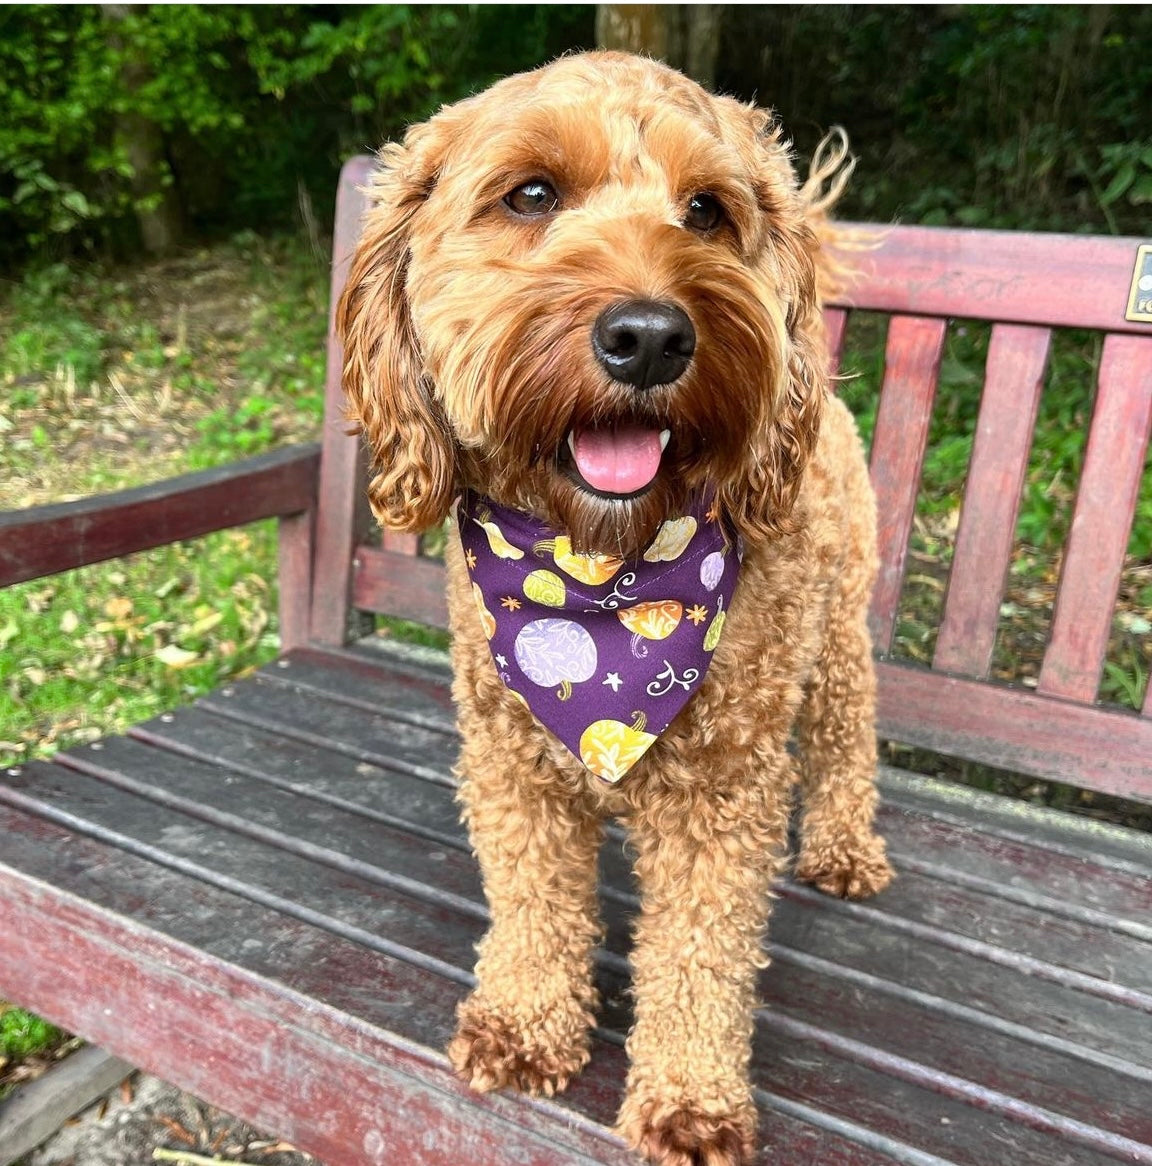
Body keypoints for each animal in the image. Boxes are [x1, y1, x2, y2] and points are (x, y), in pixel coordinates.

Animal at [338, 47, 895, 1166]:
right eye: (531, 195)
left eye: (708, 211)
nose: (650, 336)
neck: (603, 581)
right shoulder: (512, 764)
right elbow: (532, 907)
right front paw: (526, 1022)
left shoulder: (724, 793)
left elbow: (700, 954)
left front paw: (691, 1097)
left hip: (838, 632)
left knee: (849, 732)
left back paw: (846, 846)